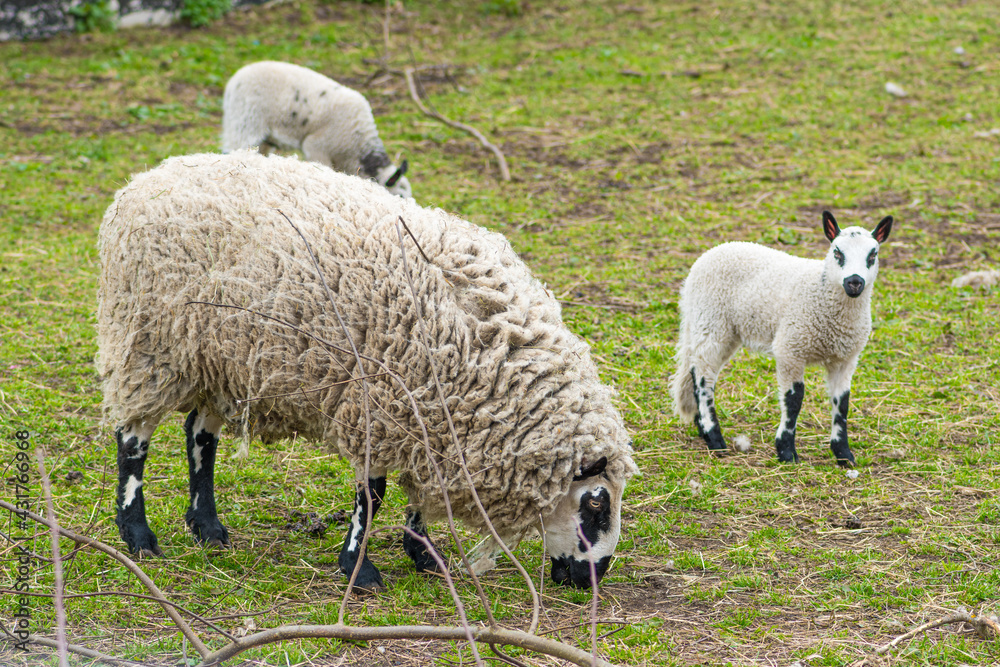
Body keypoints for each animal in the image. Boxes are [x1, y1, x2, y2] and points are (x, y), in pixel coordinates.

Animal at [97, 150, 636, 588]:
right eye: (596, 502)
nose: (592, 579)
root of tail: (145, 179)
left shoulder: (429, 417)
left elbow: (421, 491)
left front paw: (425, 556)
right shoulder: (377, 403)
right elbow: (372, 495)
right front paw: (359, 569)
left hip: (220, 357)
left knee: (199, 434)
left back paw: (207, 527)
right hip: (148, 345)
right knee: (134, 440)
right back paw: (138, 534)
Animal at [672, 211, 892, 468]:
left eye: (873, 254)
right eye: (837, 252)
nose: (854, 282)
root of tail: (708, 255)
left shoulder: (846, 358)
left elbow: (842, 404)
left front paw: (843, 454)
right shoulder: (790, 348)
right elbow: (793, 400)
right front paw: (786, 451)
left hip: (722, 330)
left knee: (701, 371)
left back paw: (703, 430)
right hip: (711, 321)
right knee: (702, 377)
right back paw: (715, 438)